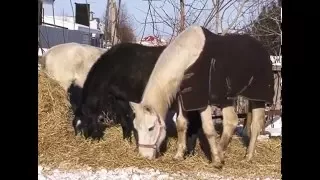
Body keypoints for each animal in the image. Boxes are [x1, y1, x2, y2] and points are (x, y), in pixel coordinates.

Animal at [129, 25, 274, 169]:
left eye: (151, 128)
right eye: (136, 127)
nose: (144, 156)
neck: (186, 57)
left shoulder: (202, 101)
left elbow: (208, 129)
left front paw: (216, 161)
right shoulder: (184, 98)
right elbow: (181, 124)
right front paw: (179, 155)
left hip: (258, 98)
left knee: (255, 125)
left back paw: (244, 157)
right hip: (227, 99)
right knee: (231, 121)